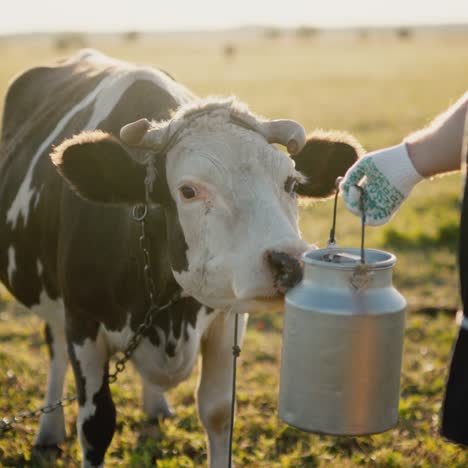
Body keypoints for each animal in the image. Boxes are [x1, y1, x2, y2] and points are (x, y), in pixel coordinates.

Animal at [0, 49, 362, 466]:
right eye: (188, 191)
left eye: (291, 183)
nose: (291, 263)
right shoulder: (82, 321)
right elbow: (95, 425)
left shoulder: (228, 317)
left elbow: (219, 412)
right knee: (55, 347)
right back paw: (49, 430)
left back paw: (155, 406)